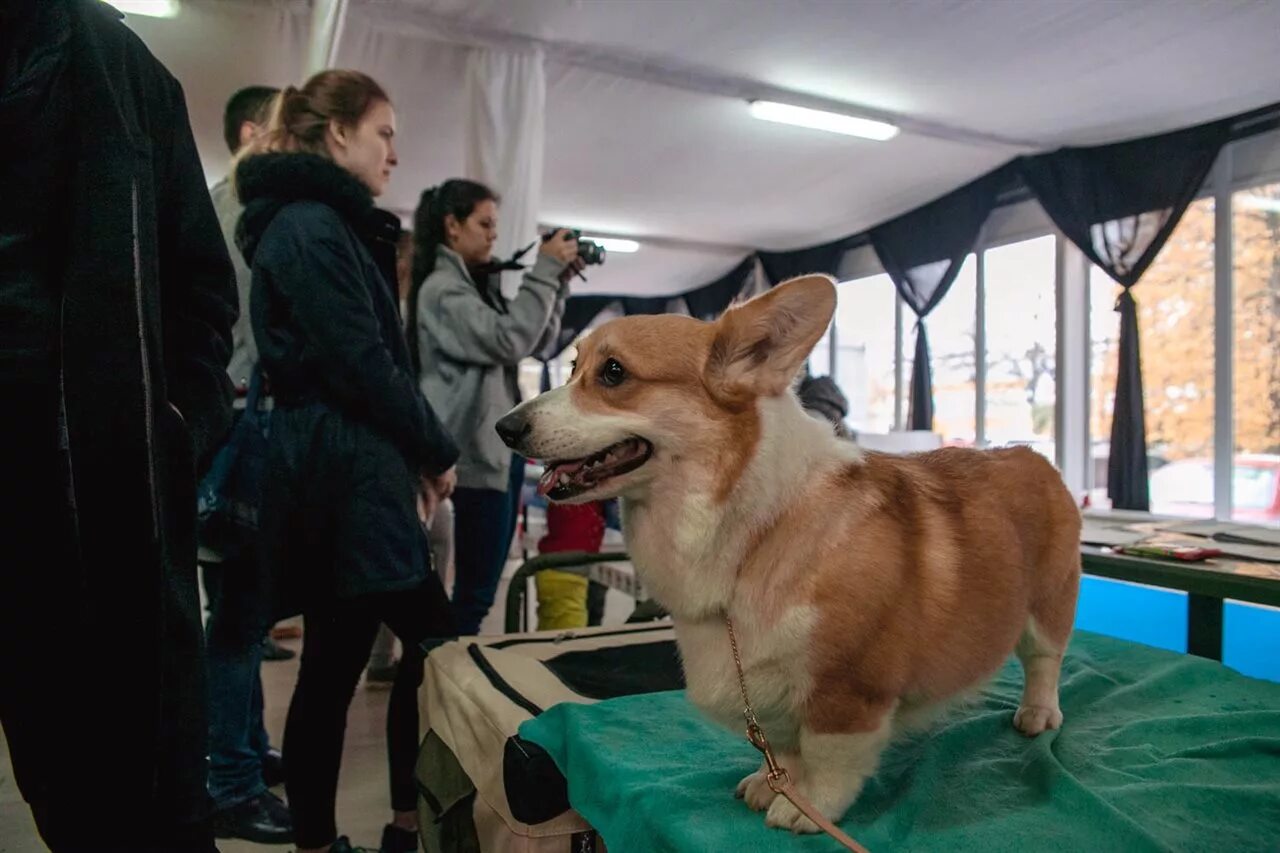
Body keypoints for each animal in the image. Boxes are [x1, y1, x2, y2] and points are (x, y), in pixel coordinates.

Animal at [496, 274, 1080, 829]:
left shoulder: (846, 691)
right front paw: (772, 783)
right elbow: (786, 749)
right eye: (574, 367)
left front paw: (808, 808)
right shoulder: (768, 690)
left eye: (614, 373)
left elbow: (827, 758)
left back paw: (1038, 714)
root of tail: (1032, 457)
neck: (754, 532)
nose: (504, 427)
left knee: (1044, 661)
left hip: (1049, 607)